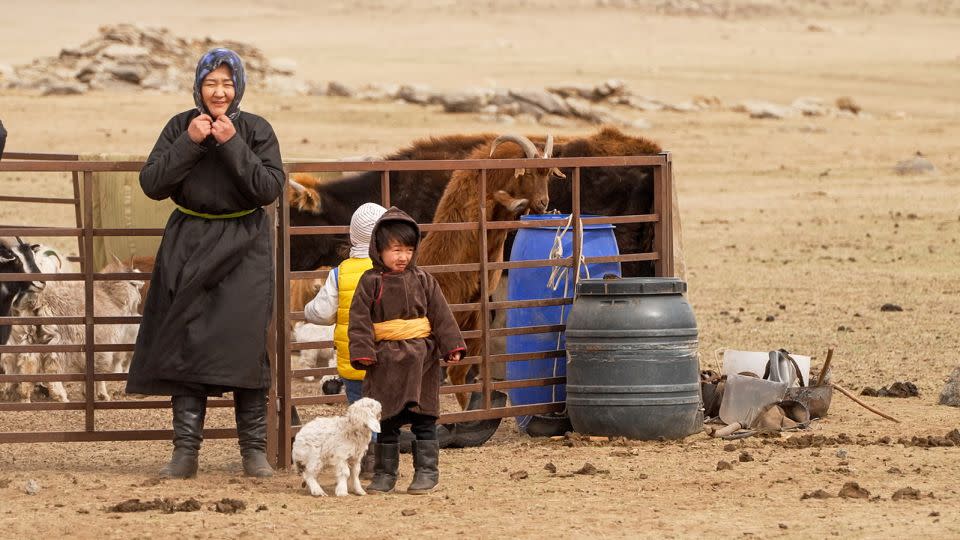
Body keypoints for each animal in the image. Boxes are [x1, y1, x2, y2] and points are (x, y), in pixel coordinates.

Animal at [420, 134, 564, 410]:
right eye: (529, 172)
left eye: (548, 175)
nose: (544, 203)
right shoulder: (474, 211)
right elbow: (493, 200)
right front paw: (515, 200)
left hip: (473, 322)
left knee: (458, 372)